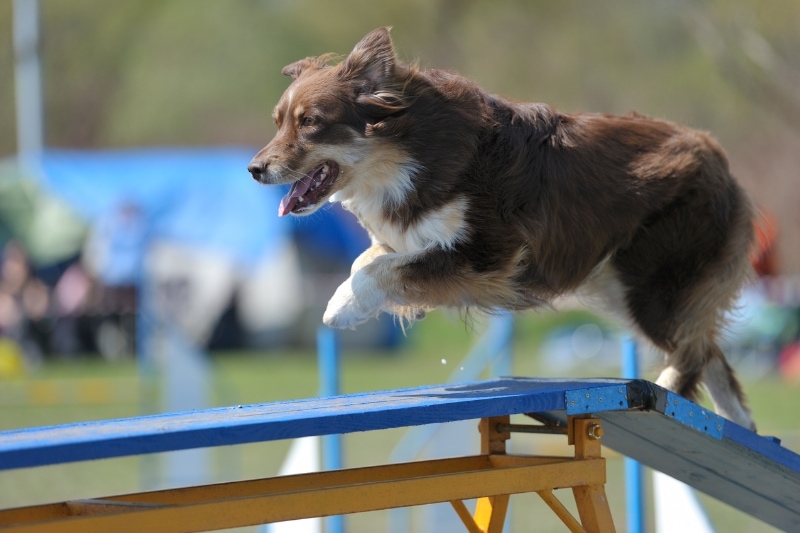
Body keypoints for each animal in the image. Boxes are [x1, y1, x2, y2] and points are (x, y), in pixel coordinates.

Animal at [248, 28, 756, 428]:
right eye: (277, 123)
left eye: (310, 122)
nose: (255, 169)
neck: (407, 153)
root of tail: (715, 152)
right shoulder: (413, 239)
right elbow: (370, 260)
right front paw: (367, 300)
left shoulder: (489, 256)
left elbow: (384, 268)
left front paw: (342, 308)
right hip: (619, 284)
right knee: (709, 351)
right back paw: (740, 427)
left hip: (650, 284)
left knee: (693, 349)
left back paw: (667, 391)